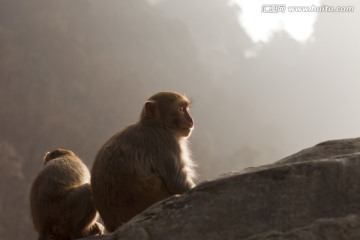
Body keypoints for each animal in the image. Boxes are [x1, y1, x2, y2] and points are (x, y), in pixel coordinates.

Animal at [91, 91, 195, 232]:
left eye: (186, 108)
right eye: (180, 109)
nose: (191, 120)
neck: (155, 124)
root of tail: (113, 225)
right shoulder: (166, 141)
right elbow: (178, 183)